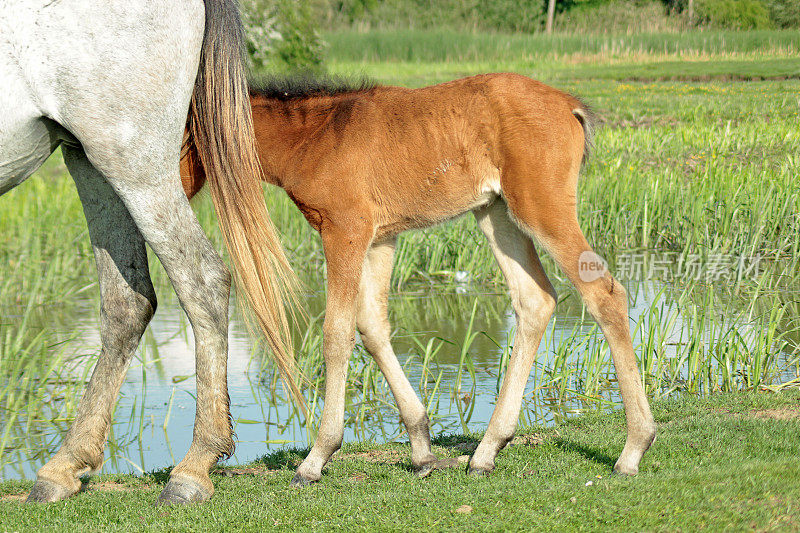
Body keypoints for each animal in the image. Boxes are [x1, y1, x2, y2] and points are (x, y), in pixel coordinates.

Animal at [1, 0, 298, 502]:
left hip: (133, 160)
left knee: (203, 281)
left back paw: (192, 470)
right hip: (90, 161)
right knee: (128, 303)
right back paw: (63, 467)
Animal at [181, 72, 656, 484]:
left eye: (179, 141)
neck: (316, 138)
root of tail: (569, 105)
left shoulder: (345, 232)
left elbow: (336, 333)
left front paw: (316, 459)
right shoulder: (380, 239)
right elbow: (372, 327)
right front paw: (422, 449)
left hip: (542, 208)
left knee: (604, 293)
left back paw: (634, 448)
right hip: (497, 213)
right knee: (535, 300)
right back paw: (487, 451)